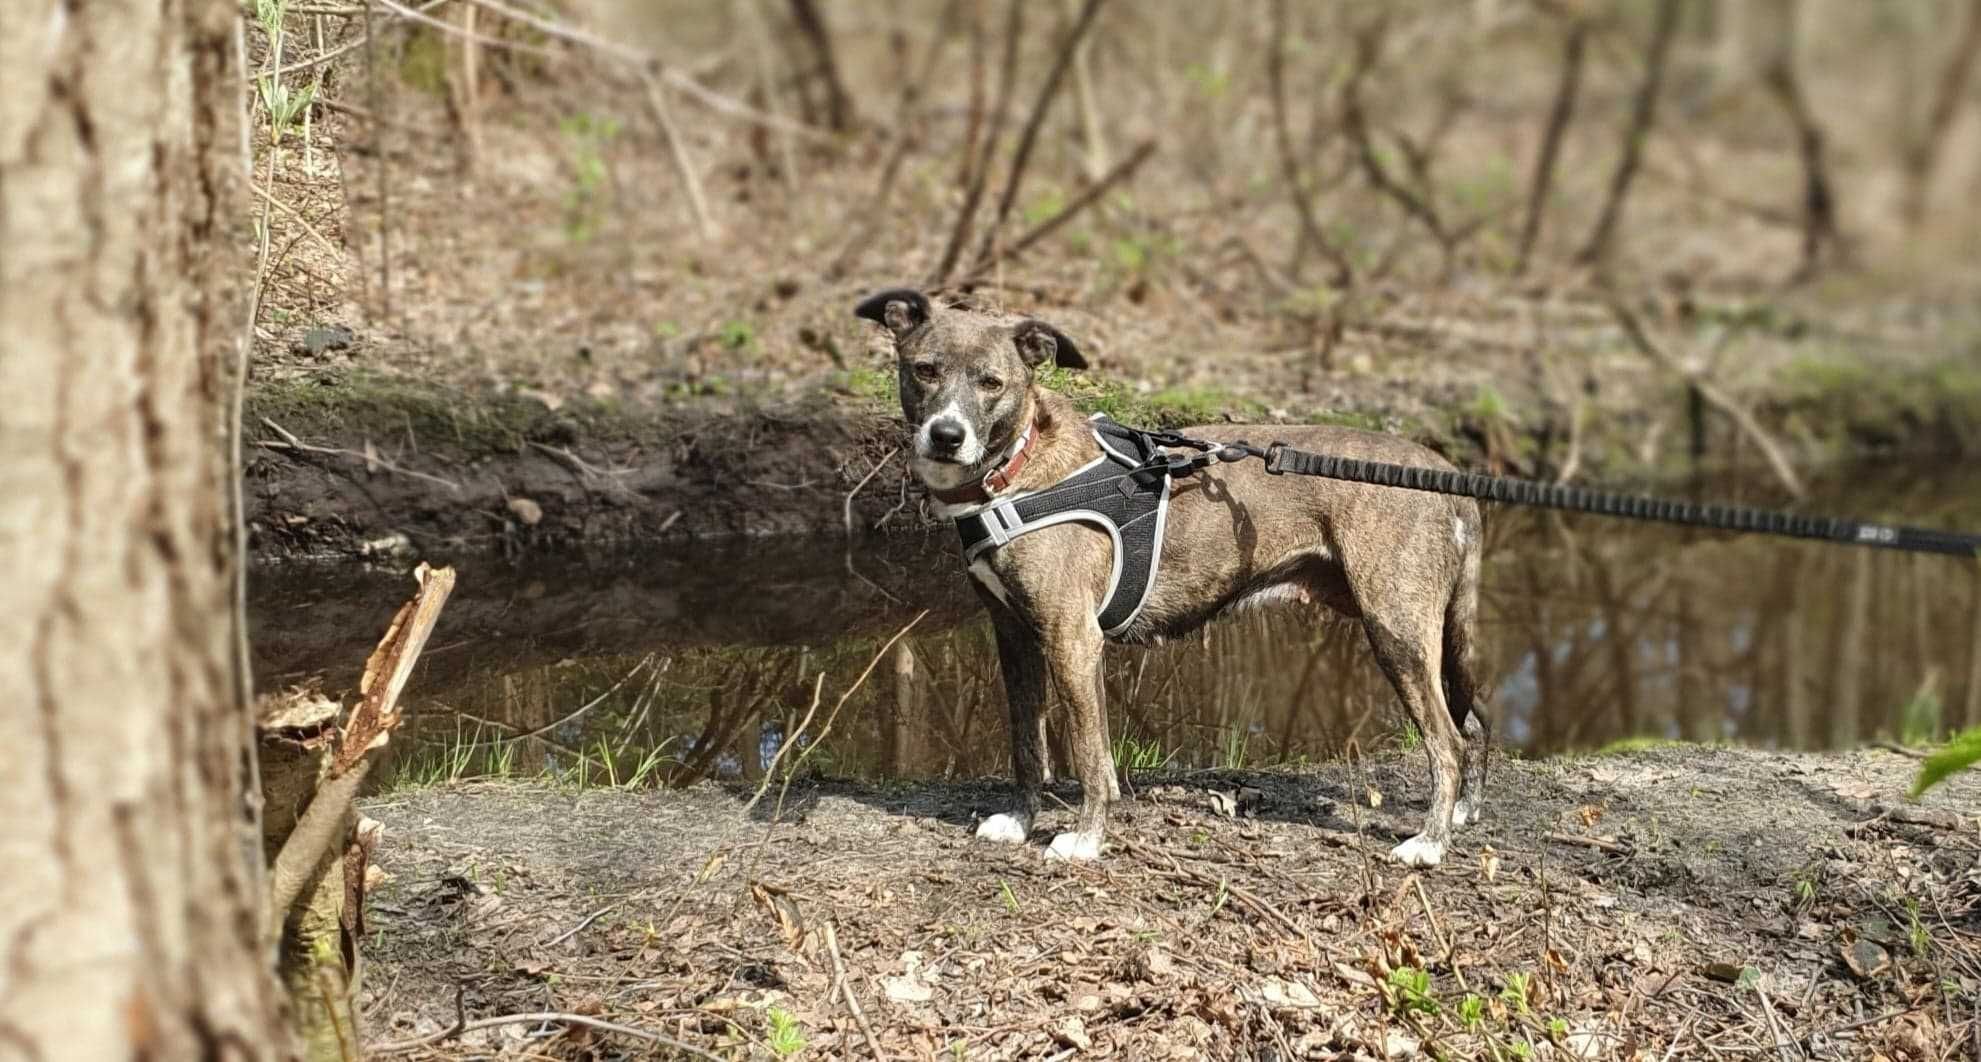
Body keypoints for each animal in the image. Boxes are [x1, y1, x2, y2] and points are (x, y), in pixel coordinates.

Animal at [851, 289, 1489, 863]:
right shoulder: (1015, 636)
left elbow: (1090, 754)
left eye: (991, 383)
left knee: (1448, 742)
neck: (1017, 469)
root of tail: (1446, 475)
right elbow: (1027, 743)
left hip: (1397, 632)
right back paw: (1461, 815)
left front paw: (1085, 838)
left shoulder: (1071, 639)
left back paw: (1429, 844)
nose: (946, 435)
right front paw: (1018, 820)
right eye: (925, 371)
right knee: (1475, 724)